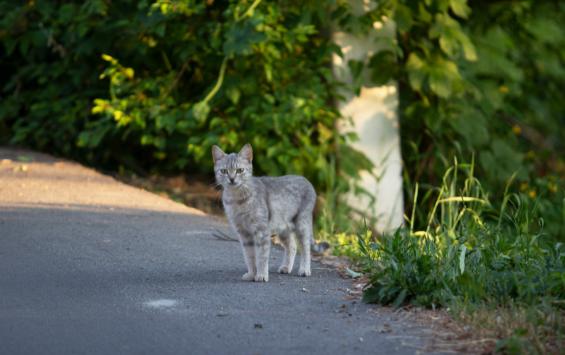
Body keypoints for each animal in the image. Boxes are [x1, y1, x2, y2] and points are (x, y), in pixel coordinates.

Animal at [213, 143, 318, 282]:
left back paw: (304, 270)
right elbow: (250, 257)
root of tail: (306, 180)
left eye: (240, 170)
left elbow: (262, 256)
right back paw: (286, 267)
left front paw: (261, 275)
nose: (231, 179)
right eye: (224, 171)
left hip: (302, 224)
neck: (237, 200)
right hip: (283, 228)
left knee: (305, 248)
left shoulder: (261, 231)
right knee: (292, 246)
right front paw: (252, 274)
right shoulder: (244, 233)